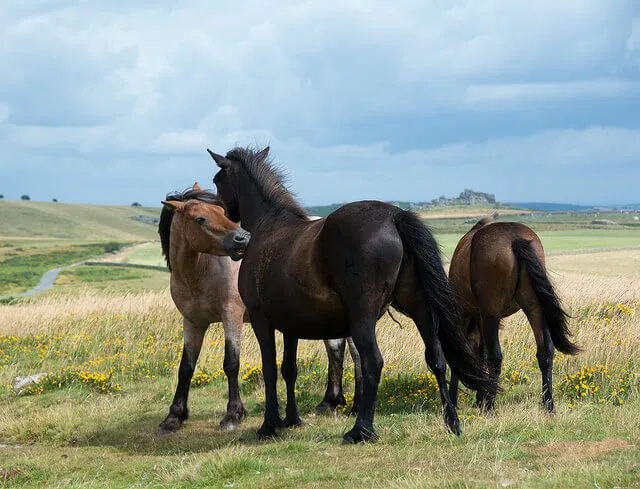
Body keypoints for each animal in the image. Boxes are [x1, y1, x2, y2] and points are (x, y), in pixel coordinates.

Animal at [157, 185, 251, 435]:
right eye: (200, 219)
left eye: (222, 211)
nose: (243, 237)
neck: (199, 273)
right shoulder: (192, 323)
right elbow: (186, 367)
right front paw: (174, 417)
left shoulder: (232, 317)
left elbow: (231, 364)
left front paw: (233, 415)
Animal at [207, 146, 495, 443]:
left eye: (217, 180)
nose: (224, 211)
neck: (269, 227)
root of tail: (394, 217)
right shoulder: (290, 326)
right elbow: (289, 369)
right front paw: (292, 420)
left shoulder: (261, 319)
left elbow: (270, 370)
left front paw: (269, 425)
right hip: (419, 307)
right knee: (437, 358)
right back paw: (452, 421)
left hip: (363, 318)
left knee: (373, 363)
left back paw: (361, 429)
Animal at [447, 216, 580, 413]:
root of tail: (514, 238)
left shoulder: (468, 316)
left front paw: (458, 399)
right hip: (534, 308)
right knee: (545, 352)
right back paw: (548, 404)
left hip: (491, 313)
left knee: (495, 356)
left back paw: (489, 406)